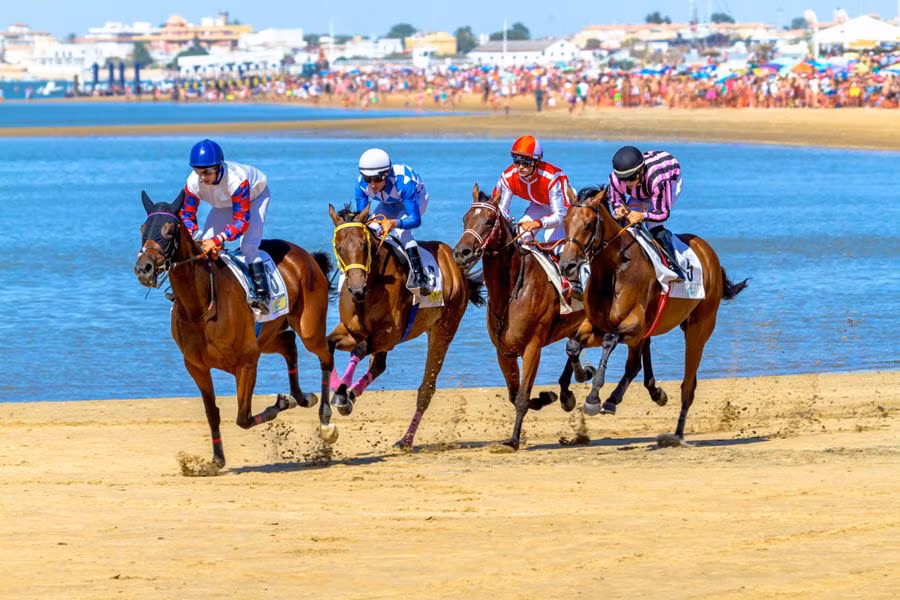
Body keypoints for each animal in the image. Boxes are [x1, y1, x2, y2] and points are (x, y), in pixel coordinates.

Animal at [134, 190, 336, 468]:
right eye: (143, 229)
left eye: (169, 229)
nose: (143, 269)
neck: (201, 307)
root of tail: (304, 255)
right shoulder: (196, 366)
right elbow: (212, 413)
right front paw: (216, 460)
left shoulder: (247, 362)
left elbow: (244, 417)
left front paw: (282, 402)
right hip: (267, 337)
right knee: (288, 343)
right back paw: (303, 396)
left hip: (309, 328)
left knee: (325, 353)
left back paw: (326, 421)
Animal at [326, 204, 485, 450]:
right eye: (339, 247)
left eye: (364, 245)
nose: (357, 289)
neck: (374, 285)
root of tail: (455, 266)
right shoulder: (352, 330)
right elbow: (329, 344)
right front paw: (341, 393)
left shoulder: (389, 334)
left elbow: (360, 349)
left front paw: (343, 393)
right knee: (379, 365)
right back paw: (353, 394)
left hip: (444, 330)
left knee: (426, 388)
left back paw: (406, 439)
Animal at [452, 184, 597, 451]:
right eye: (465, 219)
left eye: (489, 221)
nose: (461, 253)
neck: (511, 292)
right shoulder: (504, 352)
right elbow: (514, 393)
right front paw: (546, 397)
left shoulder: (532, 347)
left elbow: (521, 397)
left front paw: (513, 439)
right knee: (573, 351)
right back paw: (568, 392)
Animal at [559, 185, 748, 445]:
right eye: (566, 221)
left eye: (588, 224)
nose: (567, 265)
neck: (614, 270)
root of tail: (708, 252)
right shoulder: (598, 325)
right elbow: (572, 346)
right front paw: (580, 378)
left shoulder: (632, 327)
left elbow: (609, 342)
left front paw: (593, 399)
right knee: (634, 365)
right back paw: (626, 398)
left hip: (700, 327)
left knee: (687, 385)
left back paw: (677, 434)